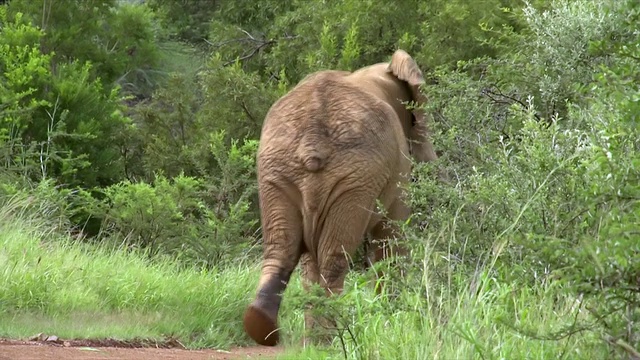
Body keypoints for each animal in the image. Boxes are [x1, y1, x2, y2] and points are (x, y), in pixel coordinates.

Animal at [242, 48, 438, 346]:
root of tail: (312, 139)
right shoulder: (397, 170)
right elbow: (391, 238)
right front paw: (392, 321)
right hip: (354, 176)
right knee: (333, 257)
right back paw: (329, 341)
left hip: (276, 169)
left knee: (283, 248)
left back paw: (270, 329)